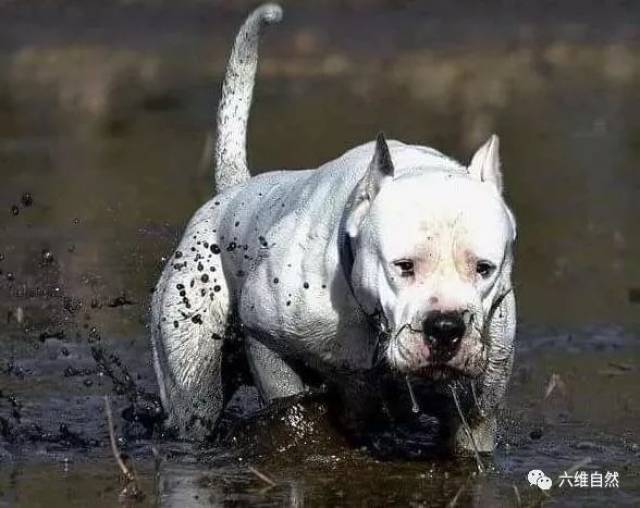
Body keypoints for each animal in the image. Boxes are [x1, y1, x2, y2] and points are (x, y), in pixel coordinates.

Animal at [150, 2, 516, 456]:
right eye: (403, 266)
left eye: (484, 268)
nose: (446, 327)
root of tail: (234, 191)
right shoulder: (266, 338)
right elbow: (286, 393)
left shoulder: (475, 417)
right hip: (192, 379)